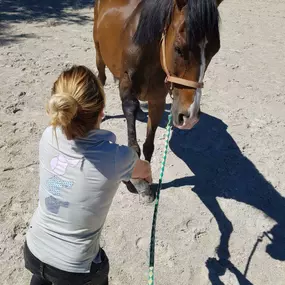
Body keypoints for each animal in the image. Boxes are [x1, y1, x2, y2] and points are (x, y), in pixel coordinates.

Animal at [92, 0, 222, 201]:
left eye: (215, 50)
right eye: (179, 48)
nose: (190, 116)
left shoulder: (157, 101)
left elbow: (148, 146)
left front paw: (147, 183)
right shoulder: (127, 93)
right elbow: (133, 145)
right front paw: (133, 182)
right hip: (99, 52)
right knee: (101, 77)